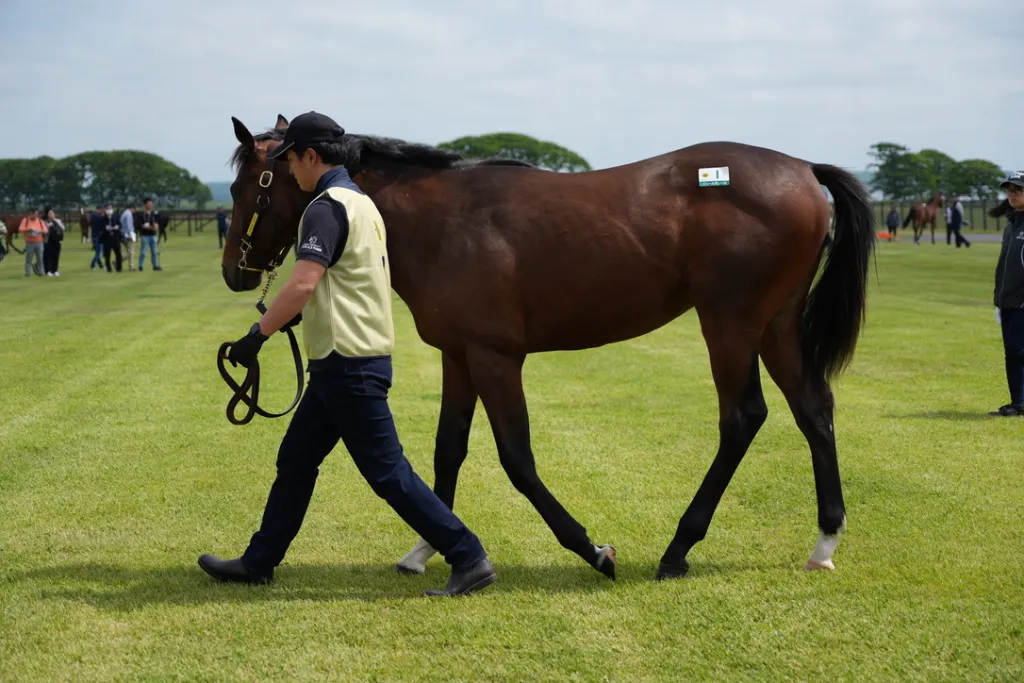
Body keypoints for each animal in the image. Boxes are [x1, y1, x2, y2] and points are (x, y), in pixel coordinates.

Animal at [221, 114, 875, 581]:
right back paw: (824, 542)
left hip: (730, 323)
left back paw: (677, 549)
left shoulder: (495, 357)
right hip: (775, 325)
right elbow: (447, 451)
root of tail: (803, 169)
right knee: (813, 410)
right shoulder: (459, 355)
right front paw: (424, 550)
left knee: (743, 417)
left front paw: (591, 549)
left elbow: (516, 457)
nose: (233, 272)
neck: (443, 221)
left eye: (244, 186)